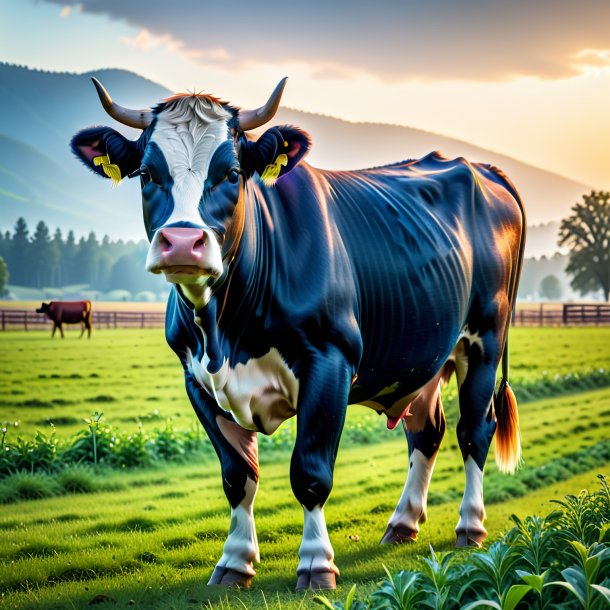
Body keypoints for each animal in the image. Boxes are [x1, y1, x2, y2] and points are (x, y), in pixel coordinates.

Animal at [71, 77, 524, 588]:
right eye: (147, 174)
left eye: (232, 173)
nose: (183, 243)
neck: (226, 333)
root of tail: (482, 168)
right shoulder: (197, 379)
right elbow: (237, 475)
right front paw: (234, 561)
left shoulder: (330, 363)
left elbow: (310, 471)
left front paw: (316, 563)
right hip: (424, 355)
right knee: (427, 432)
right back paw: (403, 523)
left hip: (485, 340)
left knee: (474, 431)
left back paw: (470, 526)